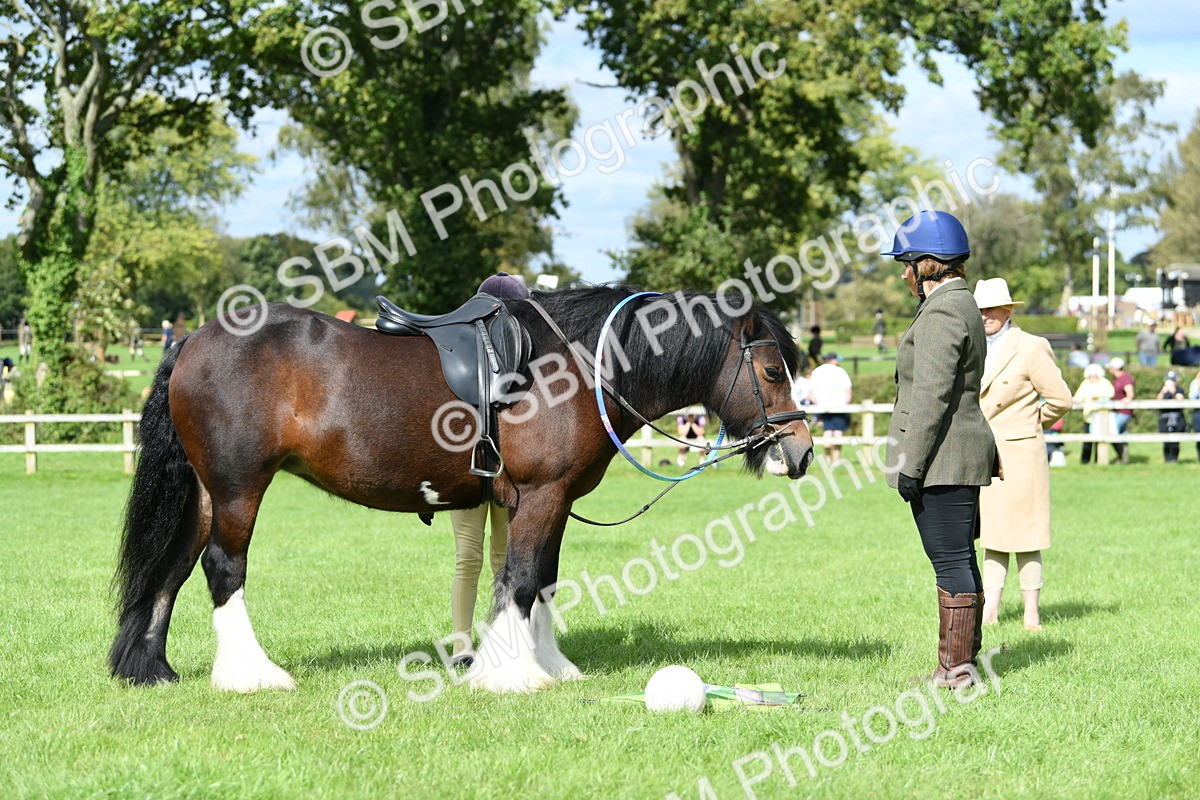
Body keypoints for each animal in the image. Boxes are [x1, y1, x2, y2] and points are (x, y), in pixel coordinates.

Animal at [109, 285, 815, 693]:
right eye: (772, 370)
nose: (801, 450)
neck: (574, 366)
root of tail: (194, 340)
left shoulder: (550, 502)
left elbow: (543, 580)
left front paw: (549, 664)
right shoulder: (541, 495)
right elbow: (523, 582)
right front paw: (515, 674)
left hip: (205, 492)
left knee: (172, 568)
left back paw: (151, 670)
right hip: (238, 489)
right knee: (223, 567)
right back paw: (251, 675)